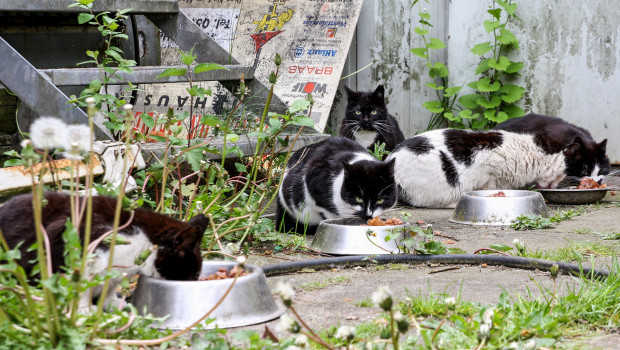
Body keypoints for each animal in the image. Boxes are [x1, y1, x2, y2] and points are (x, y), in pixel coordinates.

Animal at [0, 193, 208, 310]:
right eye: (193, 274)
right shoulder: (65, 238)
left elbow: (109, 284)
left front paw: (111, 304)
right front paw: (83, 311)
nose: (195, 281)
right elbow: (80, 284)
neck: (143, 241)